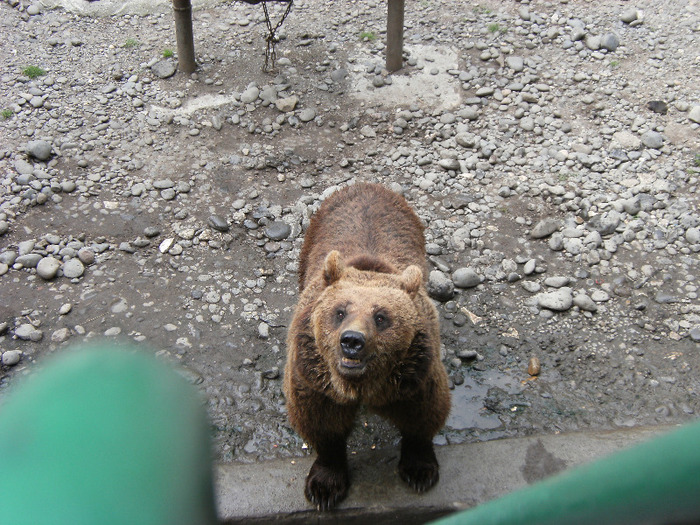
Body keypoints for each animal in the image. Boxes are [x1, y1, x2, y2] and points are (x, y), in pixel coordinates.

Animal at [284, 183, 452, 508]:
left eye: (381, 316)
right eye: (340, 311)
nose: (352, 341)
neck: (362, 385)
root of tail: (367, 185)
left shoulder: (414, 375)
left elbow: (424, 413)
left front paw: (420, 470)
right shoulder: (314, 377)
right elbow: (322, 424)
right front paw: (324, 486)